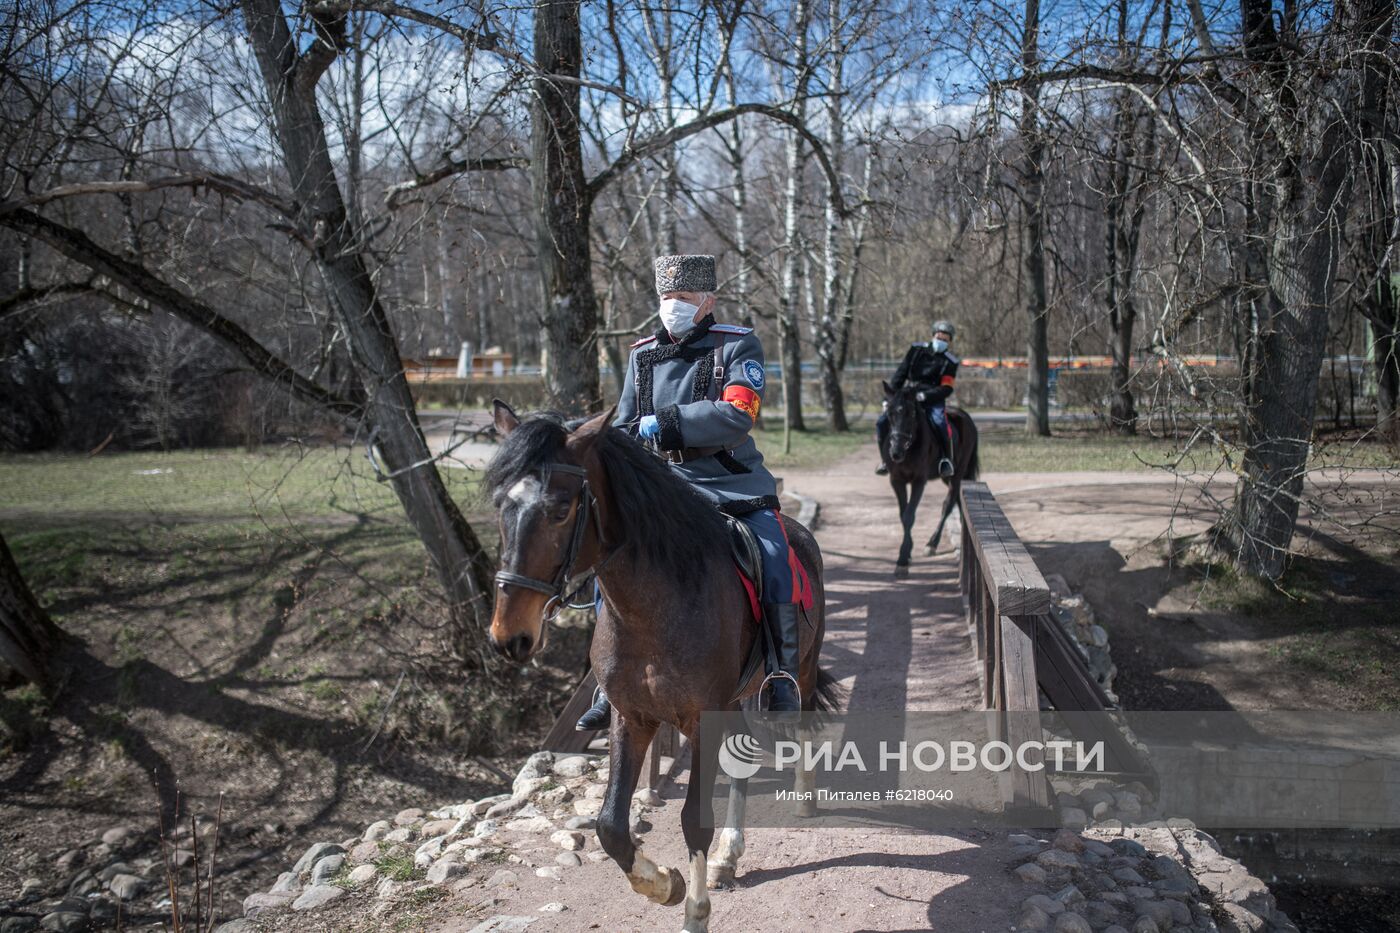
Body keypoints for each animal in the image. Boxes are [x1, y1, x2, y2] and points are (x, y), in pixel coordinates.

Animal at [484, 400, 828, 930]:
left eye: (561, 510)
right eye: (501, 506)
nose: (509, 635)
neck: (653, 607)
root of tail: (798, 532)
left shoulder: (701, 721)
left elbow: (692, 819)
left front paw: (696, 911)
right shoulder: (632, 717)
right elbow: (610, 824)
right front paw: (664, 884)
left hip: (801, 673)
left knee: (804, 725)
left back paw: (805, 799)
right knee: (743, 760)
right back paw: (729, 856)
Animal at [879, 381, 980, 574]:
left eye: (911, 413)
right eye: (889, 414)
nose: (895, 452)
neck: (909, 448)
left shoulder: (919, 481)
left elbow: (909, 515)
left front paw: (903, 558)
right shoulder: (896, 480)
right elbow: (903, 514)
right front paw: (907, 552)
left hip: (957, 473)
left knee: (948, 504)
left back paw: (932, 543)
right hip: (946, 477)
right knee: (956, 499)